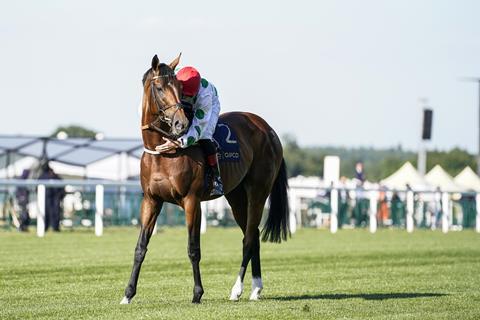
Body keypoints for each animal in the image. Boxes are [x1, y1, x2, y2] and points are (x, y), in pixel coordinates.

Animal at [122, 53, 290, 304]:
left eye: (179, 88)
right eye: (160, 88)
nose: (181, 124)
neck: (163, 154)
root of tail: (269, 130)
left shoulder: (192, 201)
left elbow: (193, 248)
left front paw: (197, 293)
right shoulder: (151, 200)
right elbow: (140, 247)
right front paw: (128, 294)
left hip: (258, 192)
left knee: (249, 239)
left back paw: (236, 289)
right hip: (236, 197)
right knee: (252, 236)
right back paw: (255, 288)